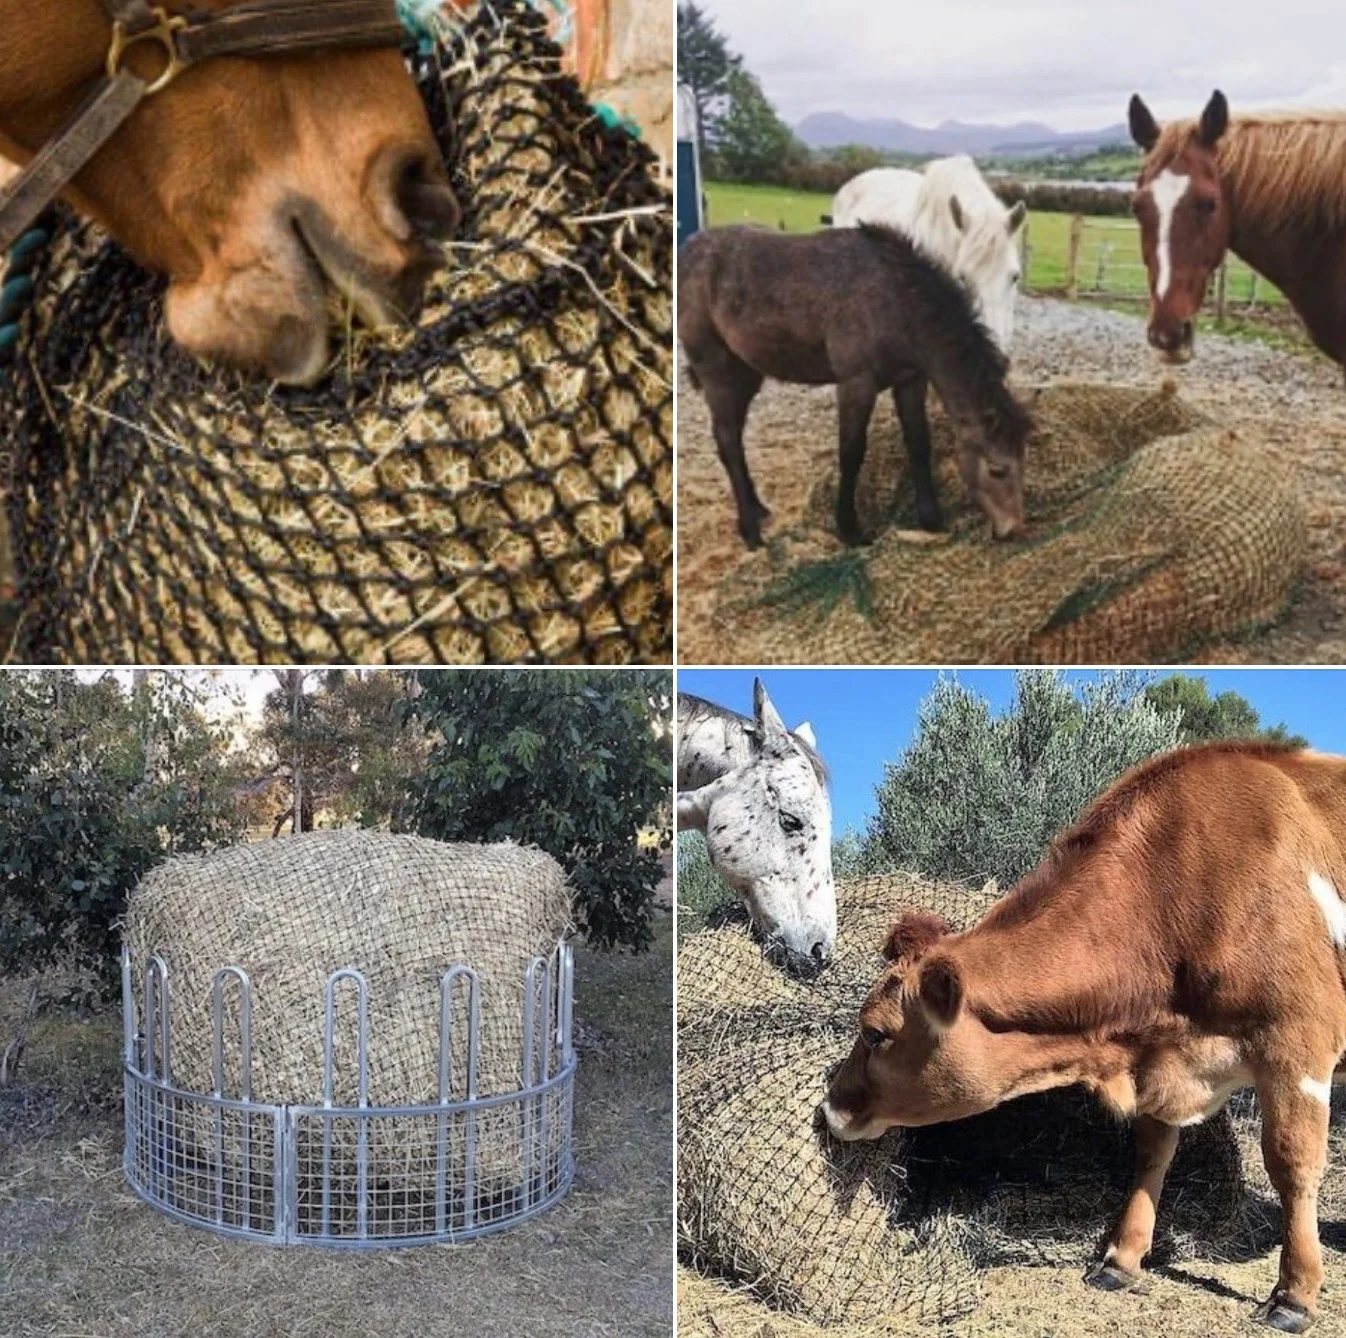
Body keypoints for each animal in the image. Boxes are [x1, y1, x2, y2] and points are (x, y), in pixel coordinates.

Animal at [678, 222, 1034, 549]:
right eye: (997, 469)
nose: (1013, 530)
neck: (895, 300)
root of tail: (689, 250)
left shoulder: (910, 380)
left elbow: (919, 442)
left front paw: (931, 518)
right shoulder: (856, 383)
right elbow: (851, 453)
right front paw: (849, 529)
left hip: (747, 373)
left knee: (734, 436)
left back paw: (758, 509)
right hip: (717, 372)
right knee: (727, 440)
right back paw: (751, 533)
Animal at [824, 741, 1346, 1334]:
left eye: (875, 1032)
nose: (830, 1106)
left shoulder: (1297, 1042)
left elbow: (1291, 1163)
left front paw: (1295, 1295)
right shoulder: (1159, 1062)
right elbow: (1151, 1154)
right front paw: (1121, 1259)